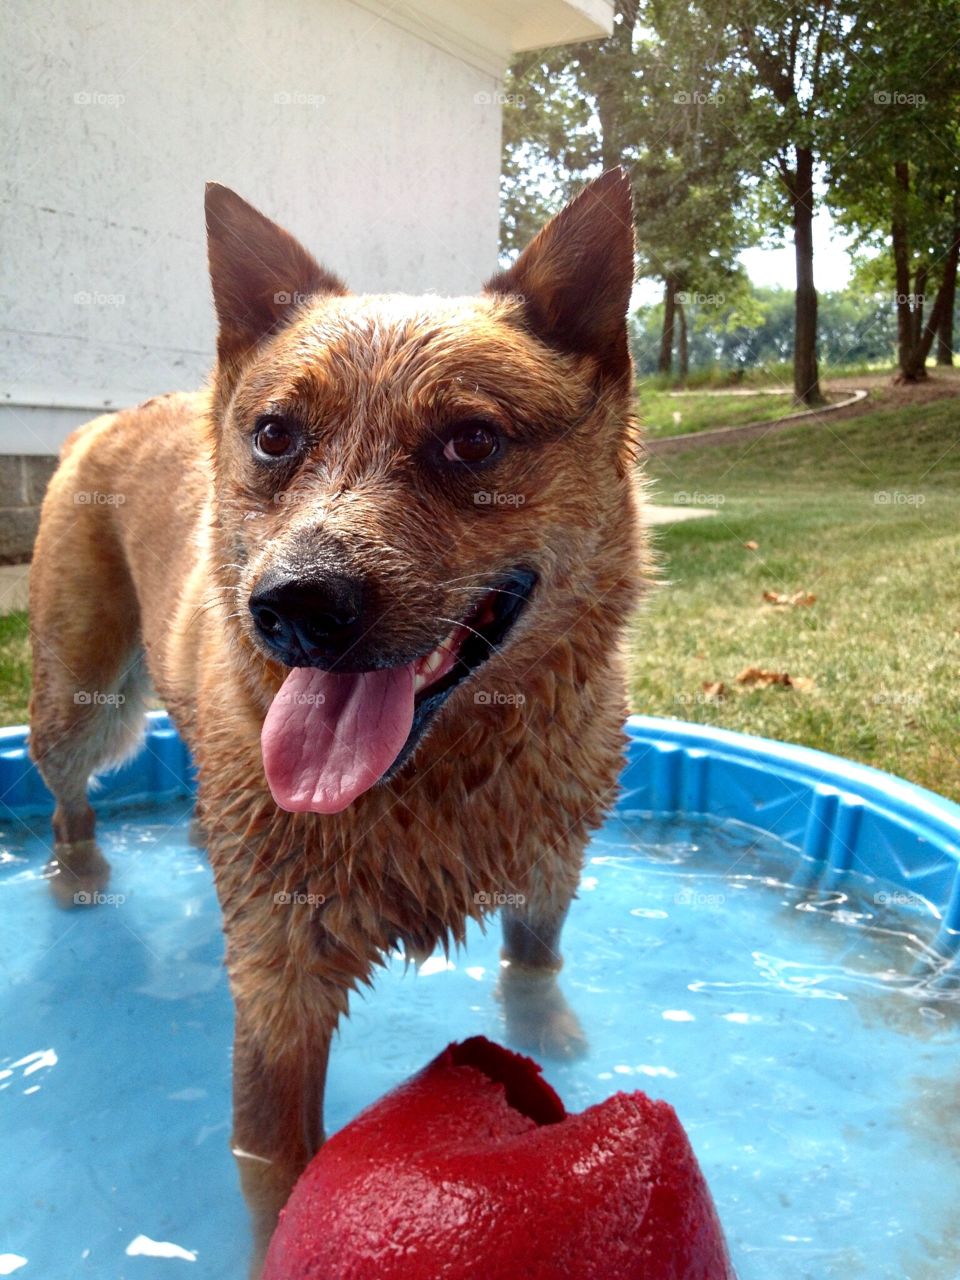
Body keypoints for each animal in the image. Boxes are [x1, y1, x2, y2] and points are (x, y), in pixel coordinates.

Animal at [30, 167, 650, 1269]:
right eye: (276, 434)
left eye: (471, 440)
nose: (294, 606)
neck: (434, 776)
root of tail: (104, 419)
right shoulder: (282, 991)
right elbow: (280, 1170)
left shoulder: (550, 863)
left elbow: (535, 958)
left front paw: (543, 1032)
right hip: (84, 703)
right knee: (66, 786)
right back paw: (81, 869)